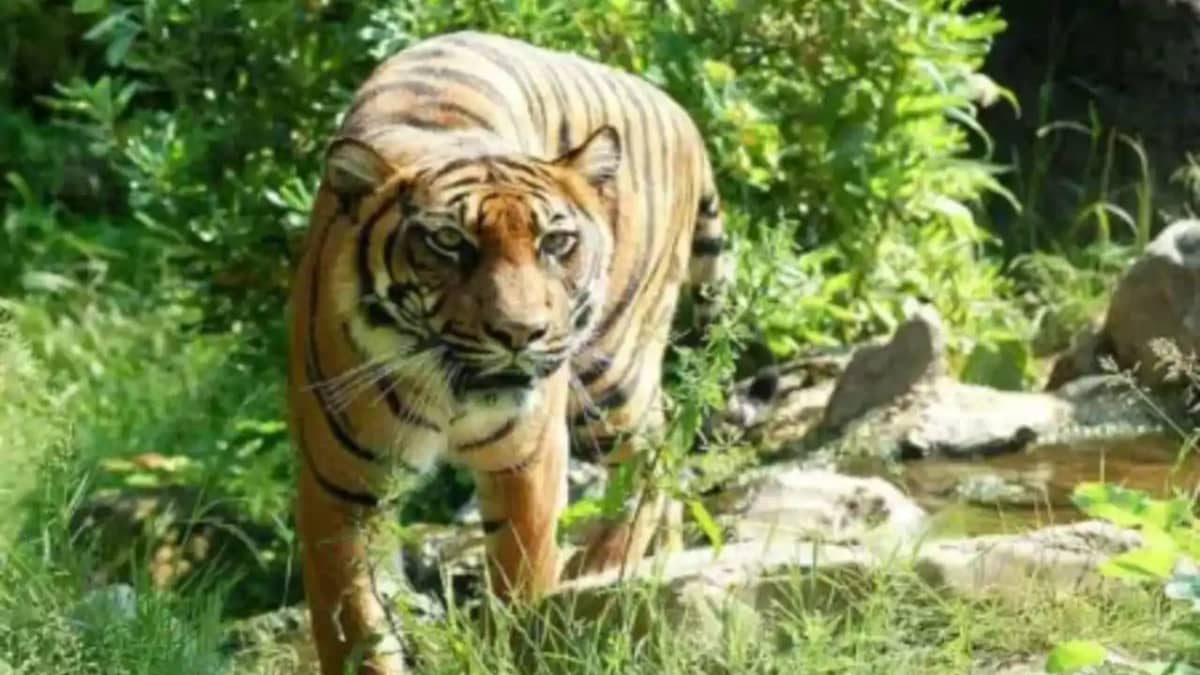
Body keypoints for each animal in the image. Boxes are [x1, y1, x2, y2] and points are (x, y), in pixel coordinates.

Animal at [286, 30, 729, 674]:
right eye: (449, 242)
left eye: (557, 242)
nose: (520, 333)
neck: (446, 392)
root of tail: (677, 110)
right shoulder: (339, 488)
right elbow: (355, 628)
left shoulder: (527, 459)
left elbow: (522, 583)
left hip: (610, 370)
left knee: (653, 447)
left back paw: (603, 569)